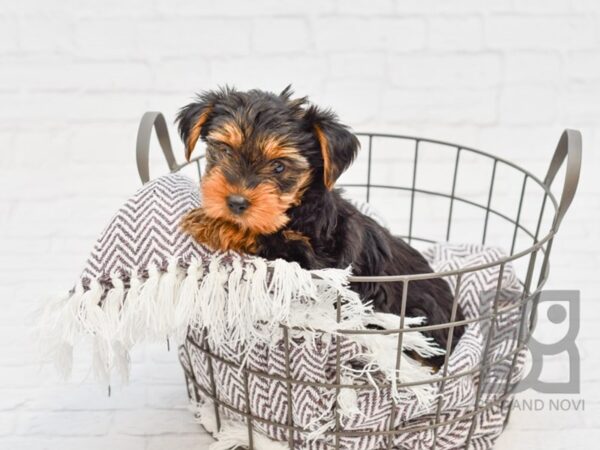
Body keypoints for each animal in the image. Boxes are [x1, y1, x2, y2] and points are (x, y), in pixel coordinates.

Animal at [177, 86, 464, 368]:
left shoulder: (313, 264)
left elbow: (270, 237)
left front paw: (211, 223)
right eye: (225, 150)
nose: (236, 202)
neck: (298, 207)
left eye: (279, 166)